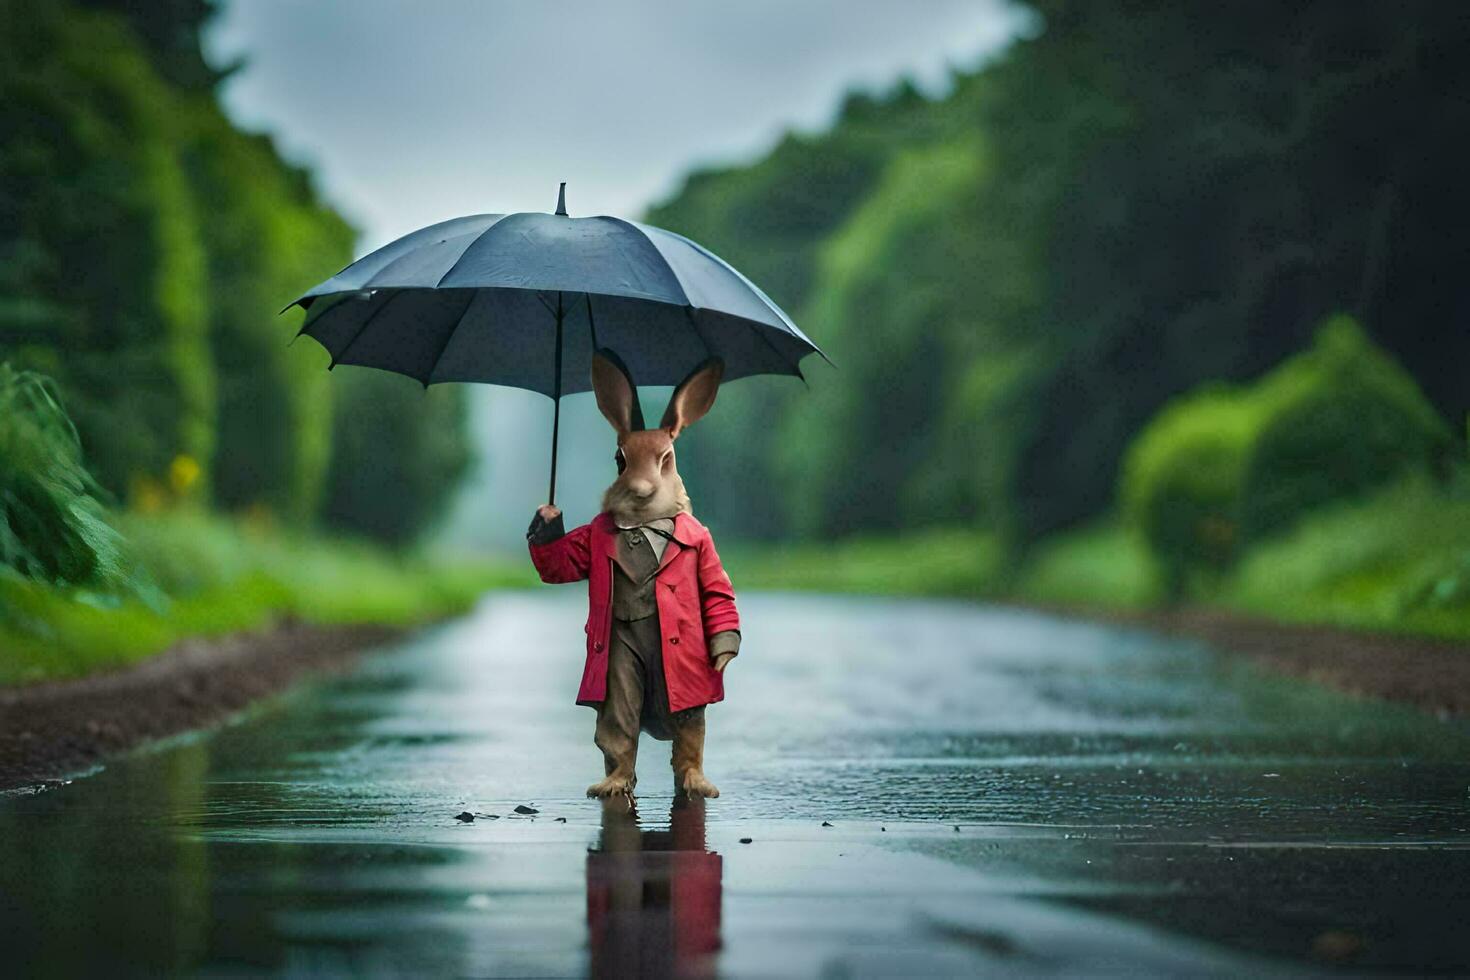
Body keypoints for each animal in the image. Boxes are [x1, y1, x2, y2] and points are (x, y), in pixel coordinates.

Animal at [529, 348, 740, 799]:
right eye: (619, 459)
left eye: (667, 458)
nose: (642, 491)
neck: (645, 523)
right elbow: (560, 563)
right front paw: (547, 521)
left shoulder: (704, 548)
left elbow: (717, 592)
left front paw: (722, 654)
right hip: (617, 668)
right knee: (619, 725)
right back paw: (612, 784)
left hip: (685, 700)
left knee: (690, 729)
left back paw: (697, 783)